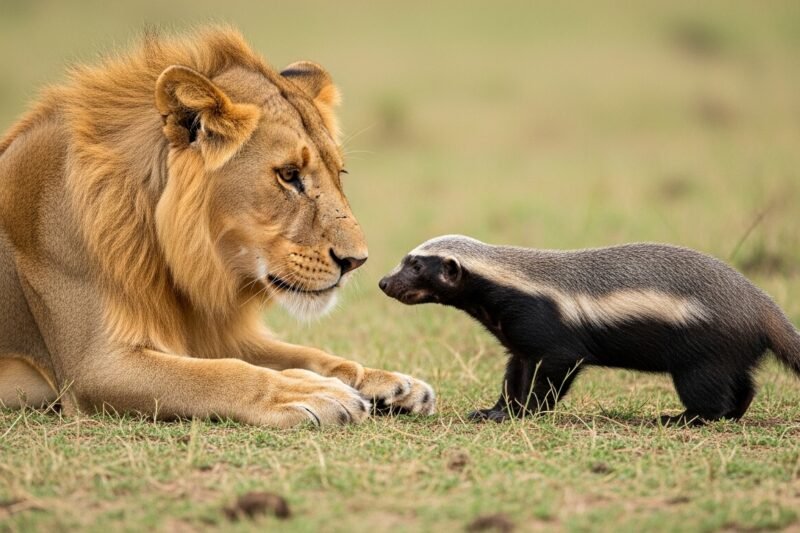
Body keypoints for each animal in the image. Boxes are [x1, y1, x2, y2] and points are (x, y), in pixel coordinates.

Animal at [0, 26, 435, 426]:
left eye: (338, 173)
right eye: (289, 175)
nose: (356, 261)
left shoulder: (211, 333)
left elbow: (306, 354)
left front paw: (387, 382)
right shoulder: (94, 367)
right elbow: (221, 374)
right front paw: (306, 391)